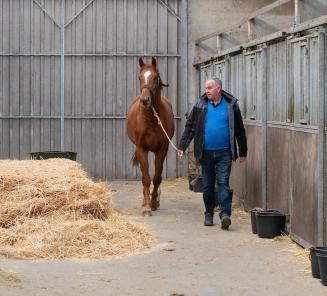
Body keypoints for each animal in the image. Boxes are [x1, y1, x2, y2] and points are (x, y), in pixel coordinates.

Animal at [127, 57, 176, 215]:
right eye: (139, 77)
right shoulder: (141, 149)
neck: (151, 119)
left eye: (155, 77)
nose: (145, 100)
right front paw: (147, 206)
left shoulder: (162, 150)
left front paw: (154, 202)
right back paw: (144, 200)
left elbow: (157, 177)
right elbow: (146, 178)